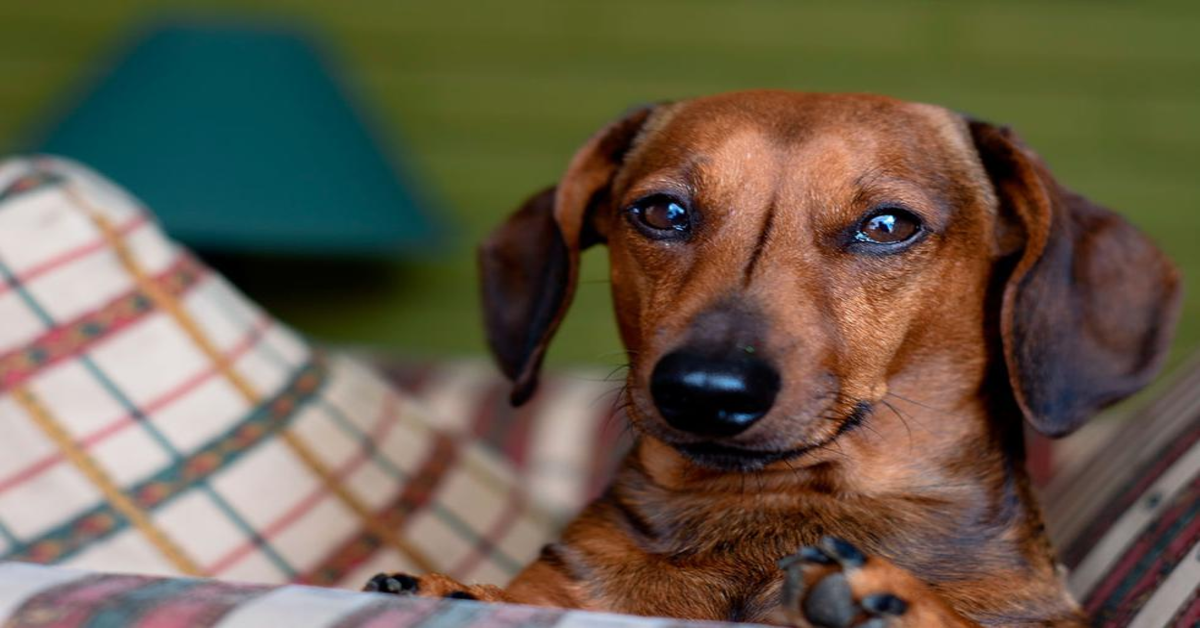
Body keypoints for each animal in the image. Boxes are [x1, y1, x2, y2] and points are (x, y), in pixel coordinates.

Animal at [364, 89, 1180, 628]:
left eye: (888, 225)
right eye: (661, 211)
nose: (704, 389)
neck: (772, 512)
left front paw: (898, 601)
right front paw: (451, 589)